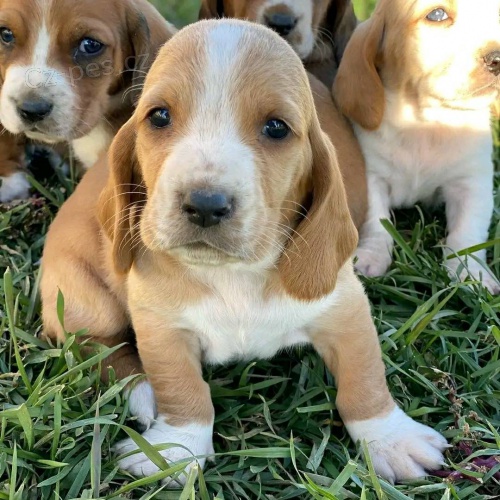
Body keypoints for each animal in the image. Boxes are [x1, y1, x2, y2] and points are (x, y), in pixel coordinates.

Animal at [39, 18, 446, 484]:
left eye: (276, 128)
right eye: (159, 115)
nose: (205, 204)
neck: (232, 272)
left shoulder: (345, 309)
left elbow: (365, 378)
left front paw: (390, 438)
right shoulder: (161, 327)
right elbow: (183, 389)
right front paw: (175, 449)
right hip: (83, 298)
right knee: (93, 346)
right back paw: (142, 392)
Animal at [332, 0, 500, 292]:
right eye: (437, 15)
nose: (497, 58)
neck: (427, 122)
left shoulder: (471, 183)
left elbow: (467, 233)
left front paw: (470, 275)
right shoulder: (370, 178)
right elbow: (376, 222)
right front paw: (370, 257)